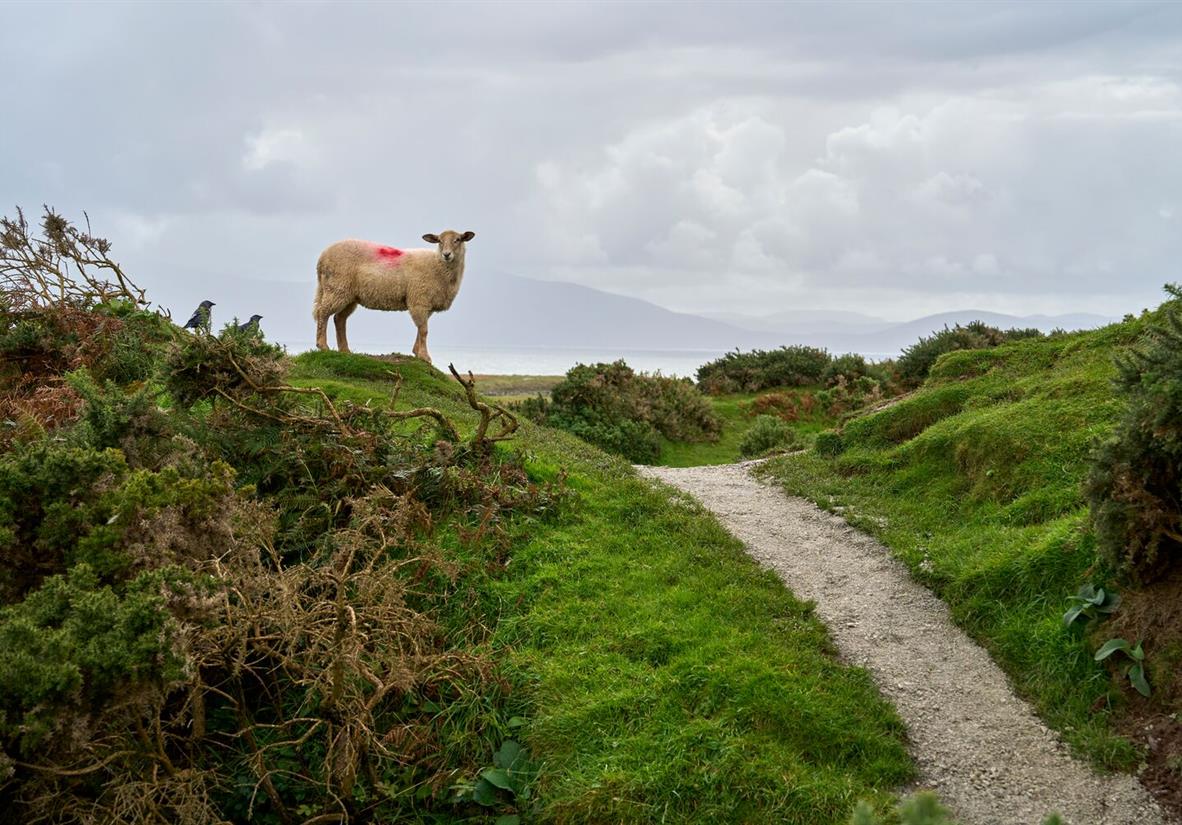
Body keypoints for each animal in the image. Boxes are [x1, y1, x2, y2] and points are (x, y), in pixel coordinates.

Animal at [312, 230, 475, 363]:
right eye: (439, 241)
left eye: (458, 239)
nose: (446, 254)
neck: (437, 265)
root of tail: (322, 257)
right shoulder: (419, 300)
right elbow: (424, 330)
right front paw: (425, 356)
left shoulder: (425, 304)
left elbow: (421, 329)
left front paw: (417, 352)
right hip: (336, 288)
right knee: (323, 312)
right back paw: (323, 345)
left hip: (349, 296)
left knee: (339, 319)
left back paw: (345, 350)